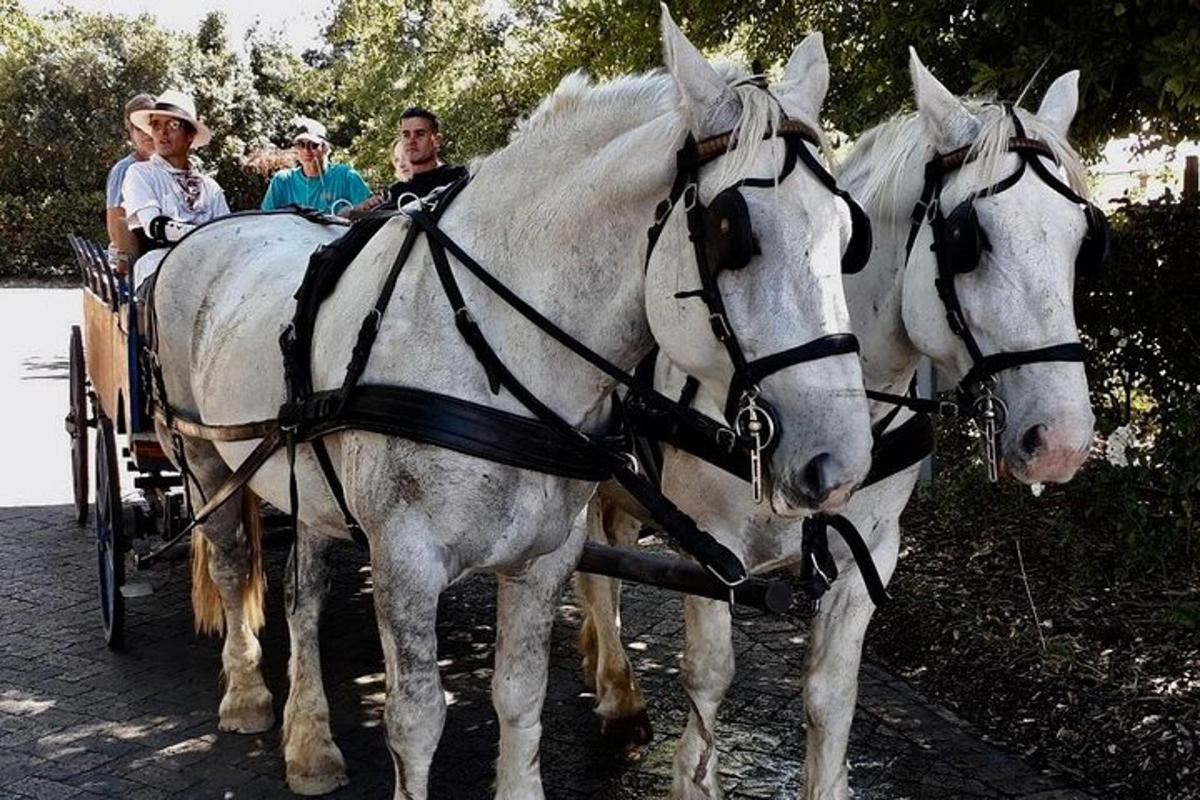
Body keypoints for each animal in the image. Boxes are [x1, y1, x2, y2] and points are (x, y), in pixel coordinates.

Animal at [147, 9, 873, 796]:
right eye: (731, 233)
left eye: (849, 234)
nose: (841, 461)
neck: (494, 351)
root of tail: (206, 235)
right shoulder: (405, 560)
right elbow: (416, 720)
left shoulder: (543, 558)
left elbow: (519, 695)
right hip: (202, 456)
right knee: (230, 564)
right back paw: (247, 695)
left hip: (305, 478)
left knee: (302, 594)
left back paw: (309, 742)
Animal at [578, 50, 1099, 800]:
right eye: (967, 240)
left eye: (1085, 238)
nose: (1061, 440)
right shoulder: (710, 547)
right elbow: (709, 677)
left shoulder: (868, 554)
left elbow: (831, 696)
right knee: (595, 572)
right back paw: (619, 695)